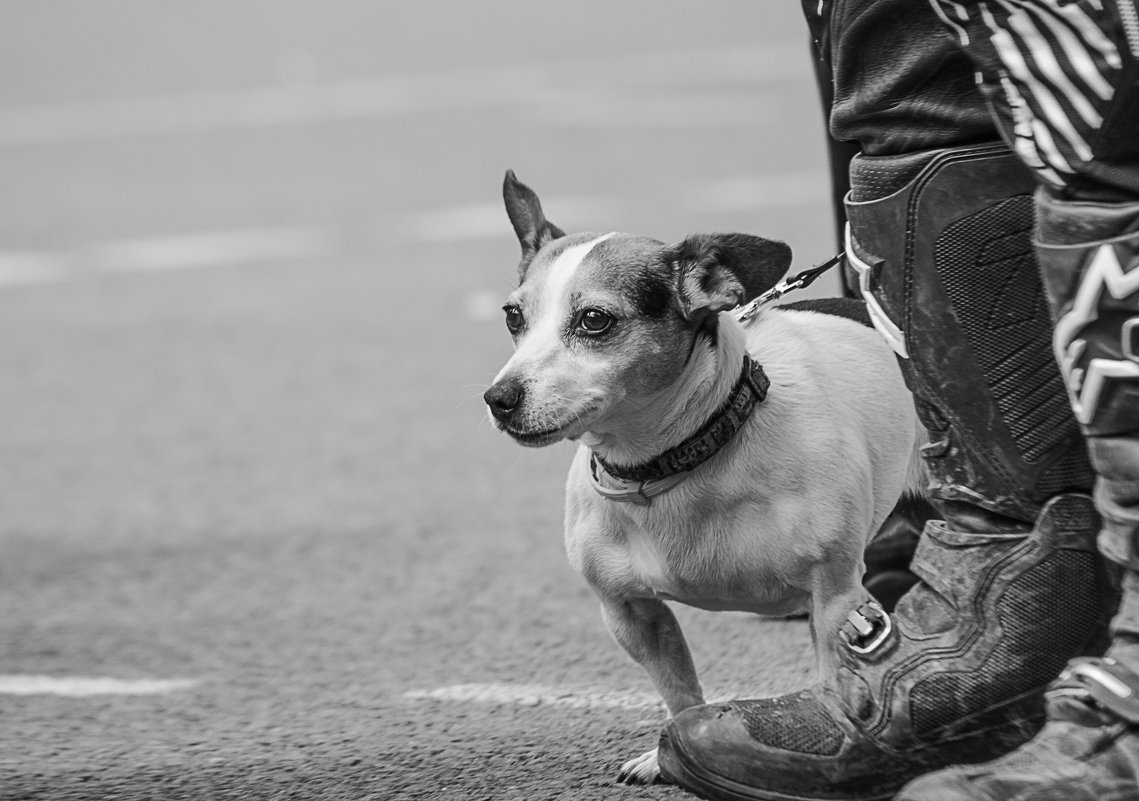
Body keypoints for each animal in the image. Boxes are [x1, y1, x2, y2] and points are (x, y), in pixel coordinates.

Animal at [482, 172, 924, 788]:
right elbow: (678, 689)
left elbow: (833, 678)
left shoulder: (835, 599)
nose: (498, 398)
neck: (674, 461)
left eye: (595, 320)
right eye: (512, 317)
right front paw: (673, 751)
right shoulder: (631, 613)